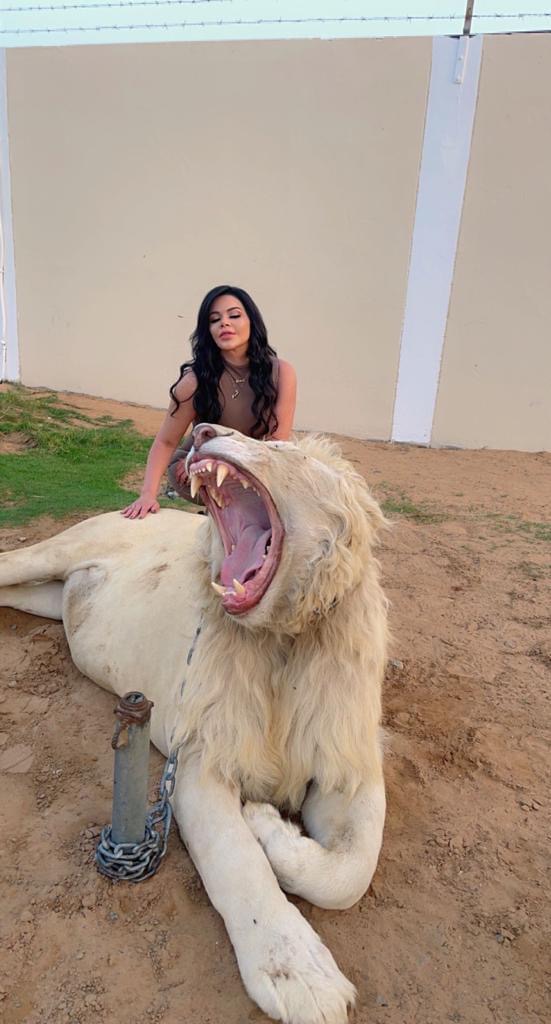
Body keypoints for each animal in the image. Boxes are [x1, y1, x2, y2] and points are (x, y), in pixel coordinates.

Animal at [0, 424, 388, 1024]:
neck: (282, 643)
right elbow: (238, 863)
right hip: (50, 554)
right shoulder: (200, 760)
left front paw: (271, 829)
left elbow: (349, 872)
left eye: (278, 448)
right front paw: (299, 975)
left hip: (42, 598)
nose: (204, 431)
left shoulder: (347, 758)